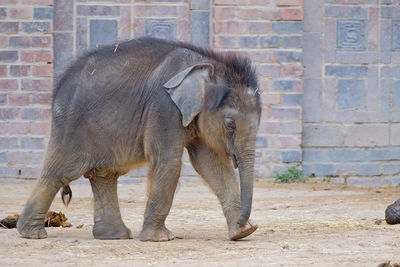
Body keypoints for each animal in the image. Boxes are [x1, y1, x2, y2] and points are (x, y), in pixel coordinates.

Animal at [17, 38, 262, 243]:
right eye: (230, 124)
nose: (244, 220)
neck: (207, 64)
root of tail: (57, 88)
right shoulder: (163, 106)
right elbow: (168, 162)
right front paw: (160, 239)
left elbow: (212, 165)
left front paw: (243, 232)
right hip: (71, 126)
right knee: (58, 172)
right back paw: (32, 234)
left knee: (104, 174)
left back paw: (115, 236)